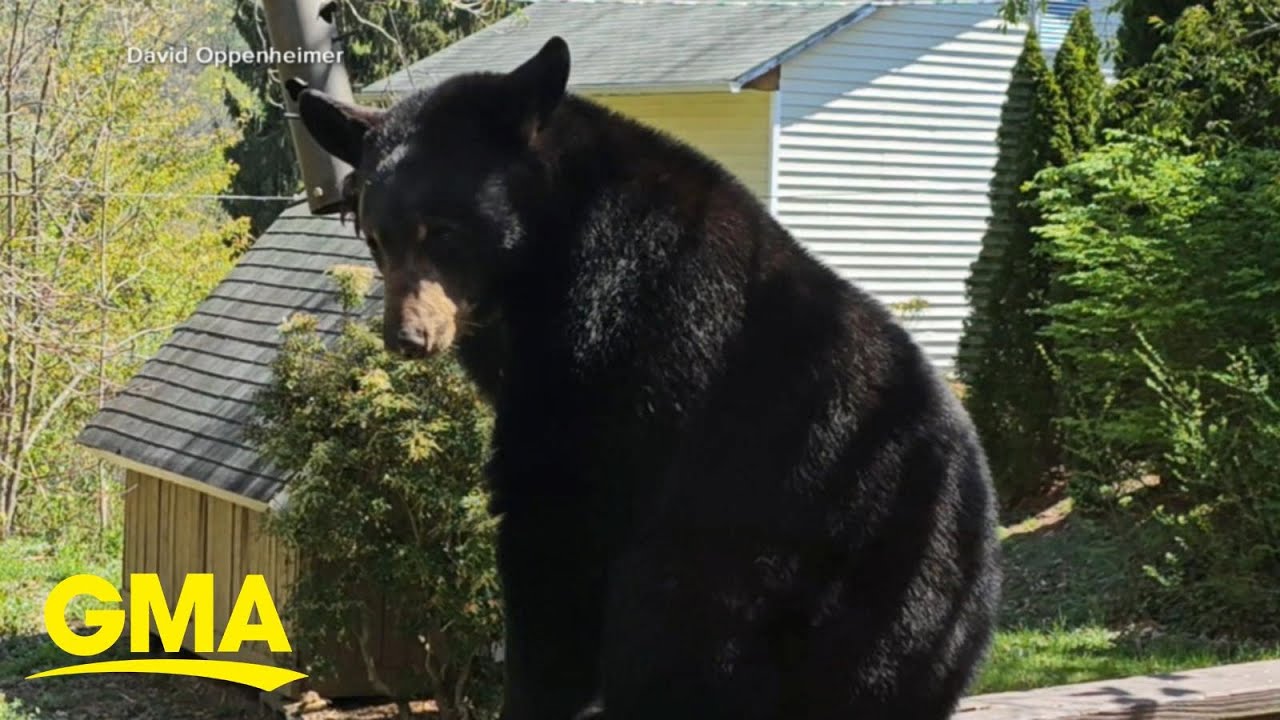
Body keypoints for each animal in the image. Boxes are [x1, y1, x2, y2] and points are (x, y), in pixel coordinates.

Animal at [293, 36, 1000, 720]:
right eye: (375, 237)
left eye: (443, 231)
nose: (408, 337)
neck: (549, 254)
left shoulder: (618, 348)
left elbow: (556, 526)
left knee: (672, 615)